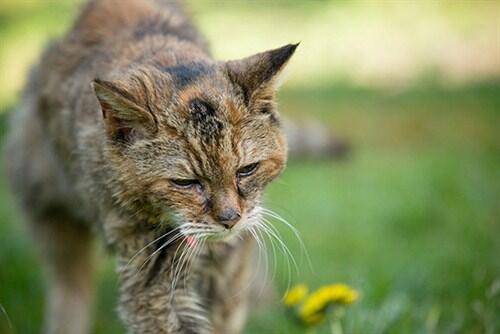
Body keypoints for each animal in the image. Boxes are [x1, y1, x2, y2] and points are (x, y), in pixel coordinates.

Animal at [4, 0, 332, 334]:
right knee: (71, 281)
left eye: (246, 170)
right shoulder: (151, 274)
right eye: (186, 183)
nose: (229, 219)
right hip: (49, 204)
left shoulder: (229, 262)